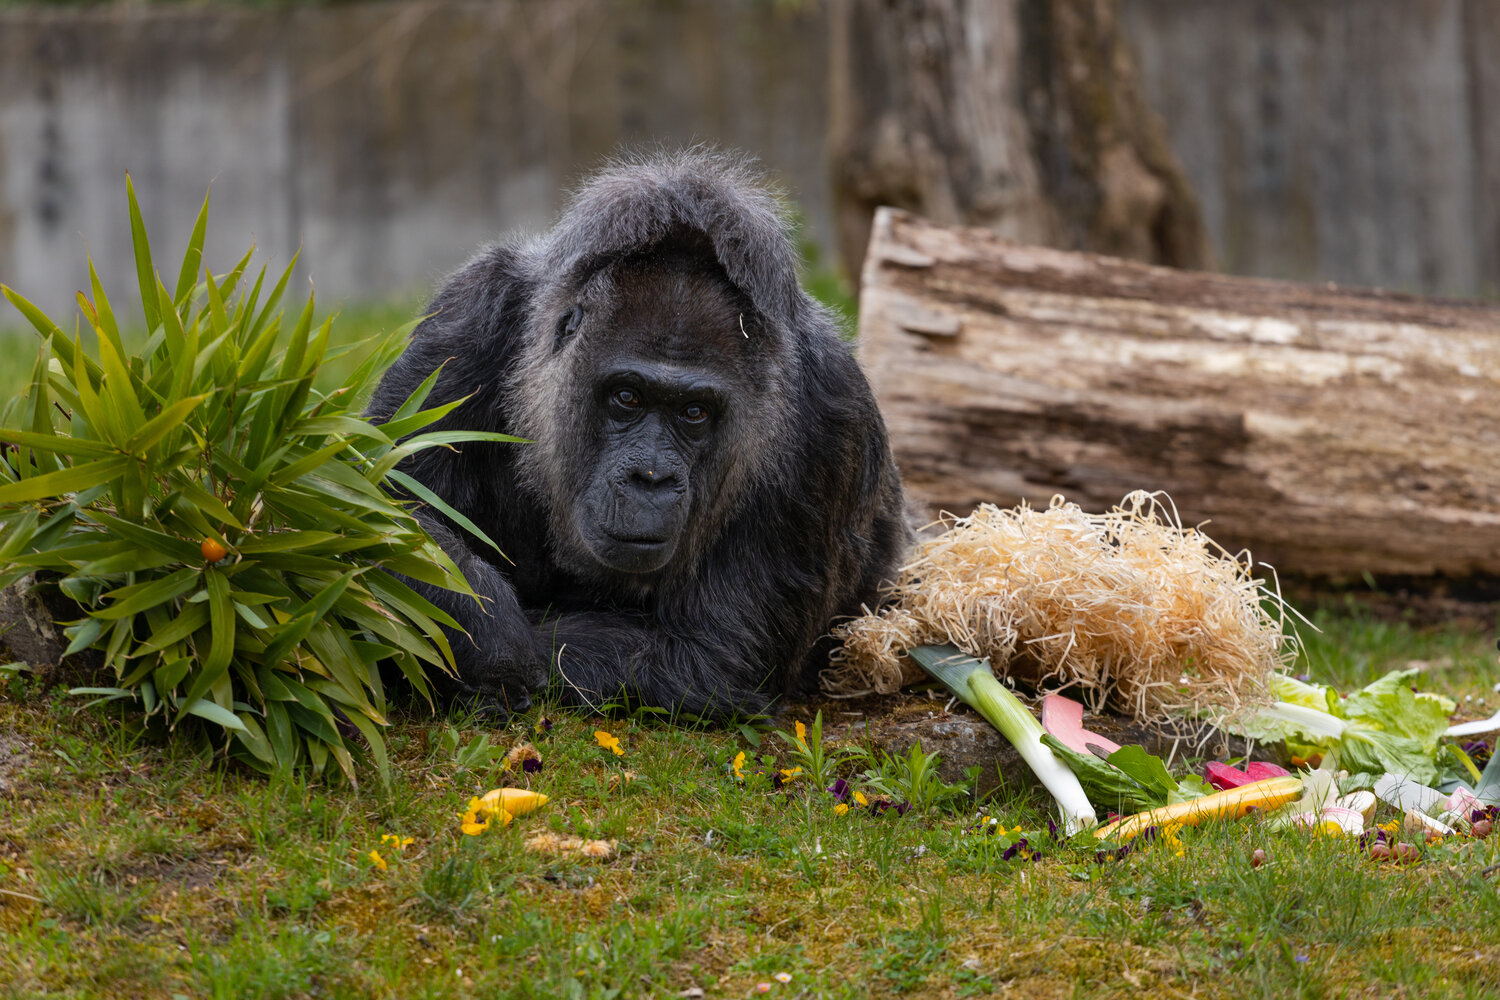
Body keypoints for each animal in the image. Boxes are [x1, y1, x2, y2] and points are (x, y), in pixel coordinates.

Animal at [366, 149, 911, 720]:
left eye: (694, 412)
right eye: (627, 397)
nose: (651, 478)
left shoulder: (832, 419)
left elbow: (708, 653)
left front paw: (494, 642)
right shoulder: (468, 316)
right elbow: (386, 499)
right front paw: (483, 623)